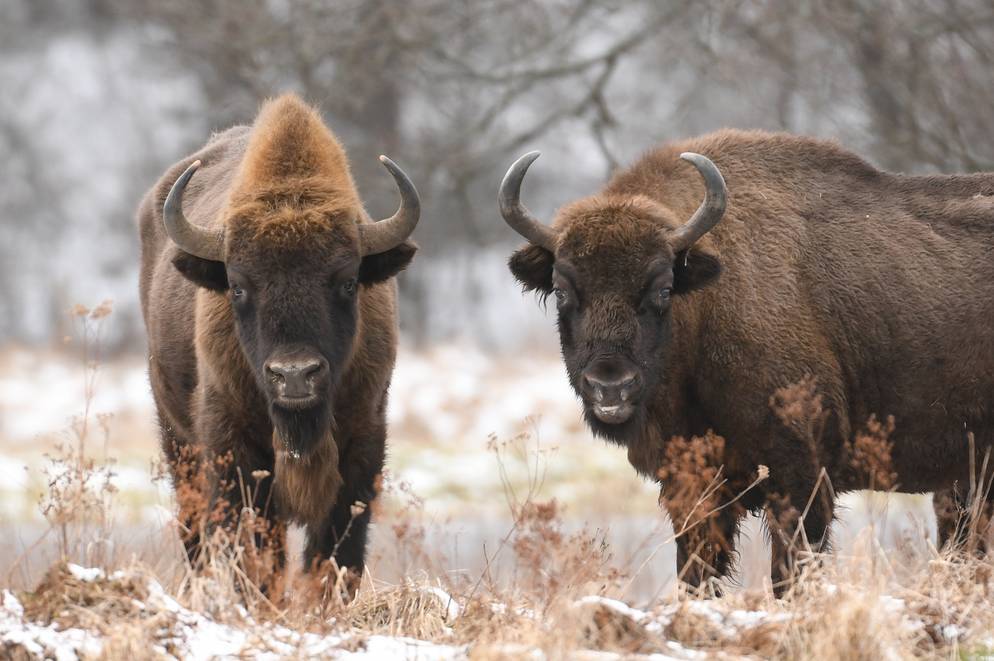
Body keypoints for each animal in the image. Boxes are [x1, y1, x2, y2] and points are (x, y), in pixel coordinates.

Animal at [140, 93, 418, 584]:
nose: (295, 376)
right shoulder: (233, 450)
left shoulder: (363, 443)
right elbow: (256, 548)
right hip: (177, 440)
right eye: (237, 286)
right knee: (194, 532)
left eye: (348, 281)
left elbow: (337, 549)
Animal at [500, 129, 992, 588]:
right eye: (562, 289)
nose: (610, 385)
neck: (707, 301)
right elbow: (696, 575)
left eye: (662, 287)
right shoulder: (693, 488)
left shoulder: (801, 476)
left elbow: (788, 574)